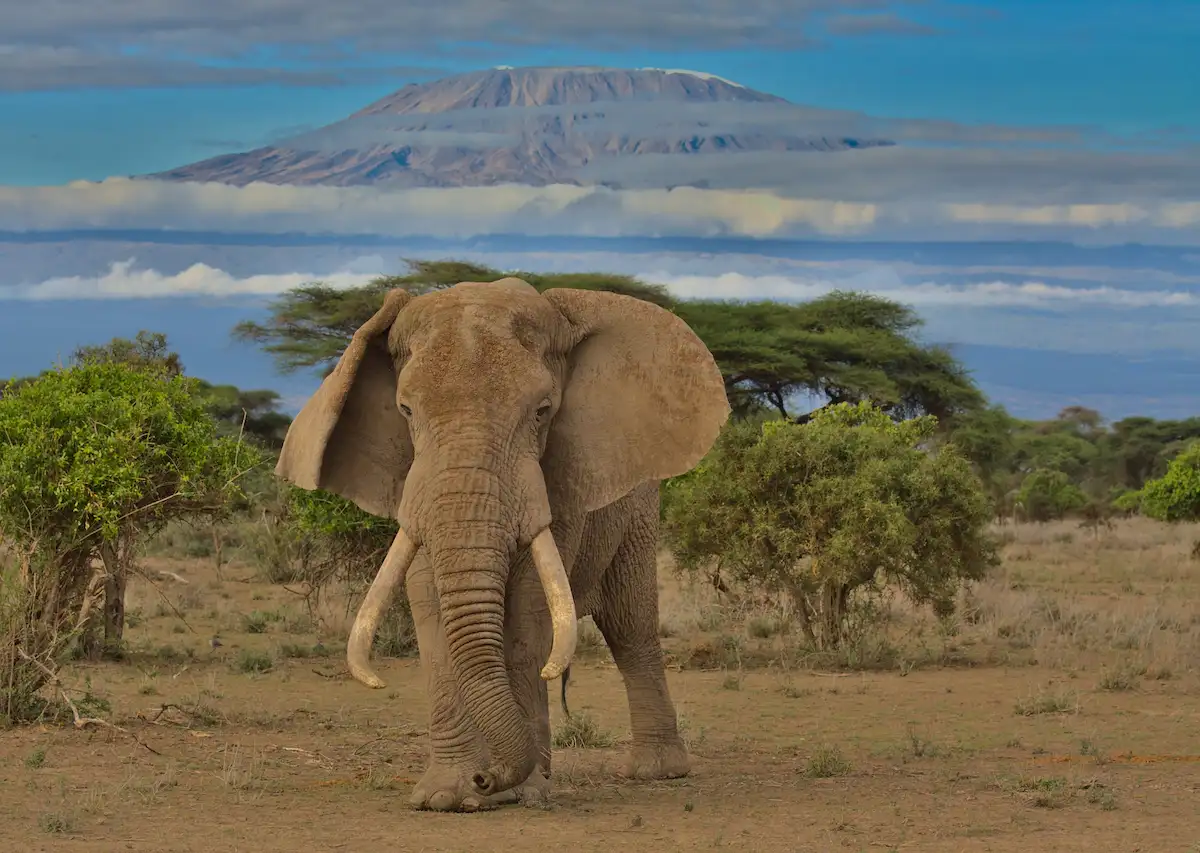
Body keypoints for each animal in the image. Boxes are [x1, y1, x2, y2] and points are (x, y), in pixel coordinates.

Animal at [275, 277, 729, 812]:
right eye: (406, 410)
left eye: (542, 411)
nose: (485, 780)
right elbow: (428, 599)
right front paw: (444, 797)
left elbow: (530, 608)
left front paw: (521, 792)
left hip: (638, 507)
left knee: (629, 625)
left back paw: (655, 772)